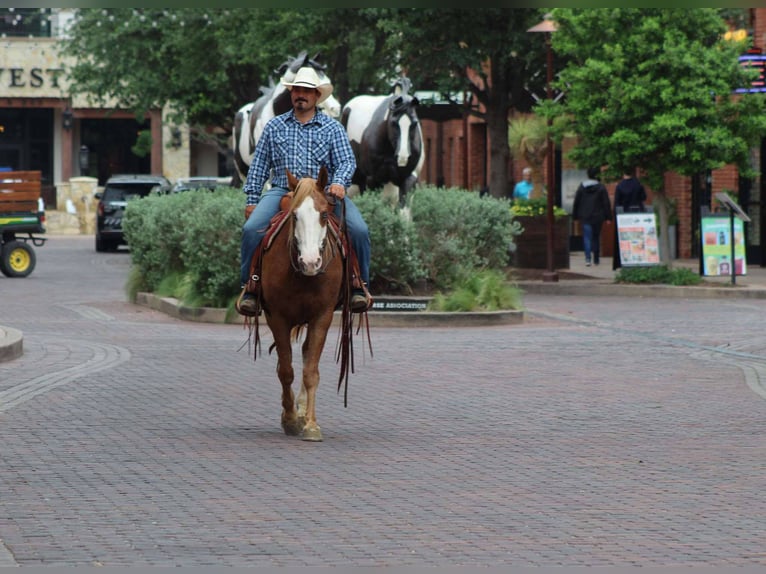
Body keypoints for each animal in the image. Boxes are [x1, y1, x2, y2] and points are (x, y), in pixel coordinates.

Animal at [242, 167, 360, 442]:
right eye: (295, 216)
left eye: (325, 214)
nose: (310, 262)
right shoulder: (277, 317)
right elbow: (286, 370)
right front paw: (290, 419)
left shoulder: (322, 316)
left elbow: (310, 371)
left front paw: (311, 424)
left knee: (307, 354)